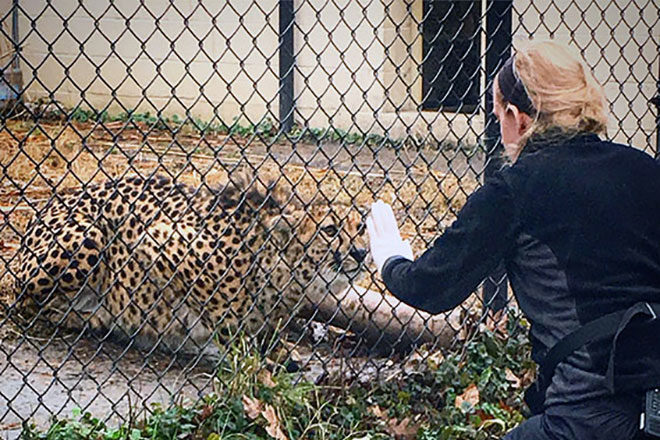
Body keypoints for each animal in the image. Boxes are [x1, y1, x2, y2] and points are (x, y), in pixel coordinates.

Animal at [15, 174, 368, 356]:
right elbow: (211, 310)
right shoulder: (156, 240)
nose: (362, 253)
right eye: (330, 230)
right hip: (89, 238)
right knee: (28, 303)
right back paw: (91, 319)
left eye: (361, 227)